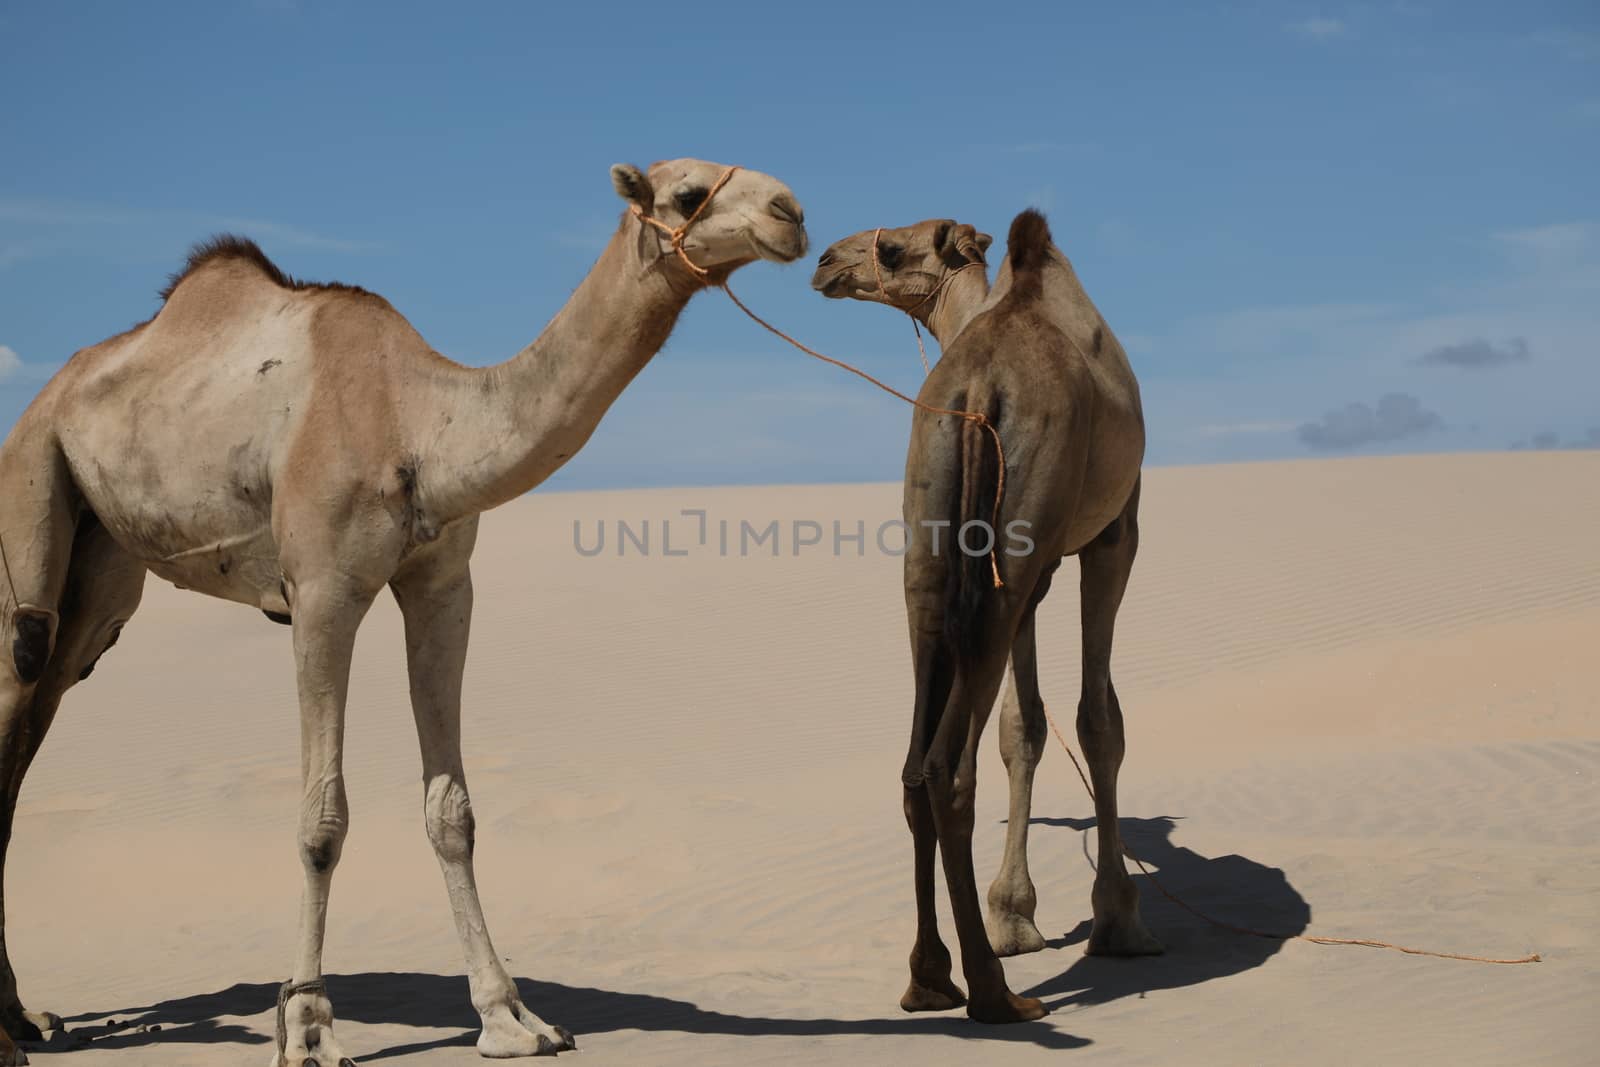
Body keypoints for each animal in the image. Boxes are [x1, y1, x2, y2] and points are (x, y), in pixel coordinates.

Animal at [0, 154, 800, 1062]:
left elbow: (453, 810)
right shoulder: (321, 592)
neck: (418, 422)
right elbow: (321, 819)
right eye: (686, 194)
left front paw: (509, 1016)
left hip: (102, 574)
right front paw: (309, 1024)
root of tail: (48, 395)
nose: (792, 214)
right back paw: (21, 1022)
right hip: (30, 486)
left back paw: (27, 1014)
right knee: (17, 679)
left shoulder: (444, 584)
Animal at [819, 211, 1158, 1023]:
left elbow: (1023, 727)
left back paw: (930, 977)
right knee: (948, 765)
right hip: (1019, 541)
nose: (824, 261)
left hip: (930, 549)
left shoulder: (1025, 573)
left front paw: (1015, 914)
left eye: (891, 248)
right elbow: (1096, 722)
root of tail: (978, 387)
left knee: (916, 766)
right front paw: (1117, 918)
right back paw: (995, 993)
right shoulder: (1114, 534)